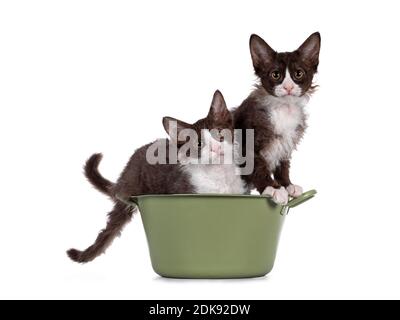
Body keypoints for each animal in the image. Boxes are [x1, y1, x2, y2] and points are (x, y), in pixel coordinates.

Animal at [67, 90, 245, 262]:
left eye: (220, 132)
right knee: (109, 228)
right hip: (130, 189)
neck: (220, 175)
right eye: (199, 144)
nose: (216, 147)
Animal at [234, 32, 322, 205]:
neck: (284, 109)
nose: (288, 87)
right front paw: (273, 188)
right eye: (276, 75)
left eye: (298, 73)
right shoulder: (248, 144)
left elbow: (283, 166)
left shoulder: (286, 142)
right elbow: (258, 167)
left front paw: (287, 185)